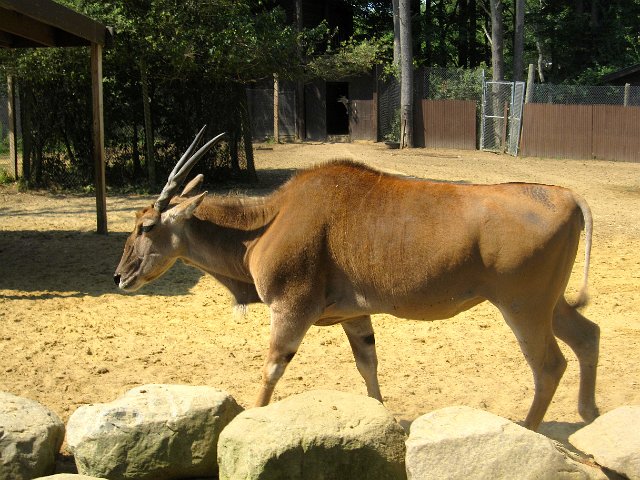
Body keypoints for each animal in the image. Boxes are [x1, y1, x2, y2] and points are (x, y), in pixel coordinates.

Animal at [114, 127, 600, 431]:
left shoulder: (292, 311)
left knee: (549, 364)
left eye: (147, 226)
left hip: (523, 307)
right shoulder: (353, 316)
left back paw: (532, 428)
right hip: (549, 304)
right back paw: (588, 412)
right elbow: (368, 364)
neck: (269, 222)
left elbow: (271, 369)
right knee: (587, 335)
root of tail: (567, 196)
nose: (120, 277)